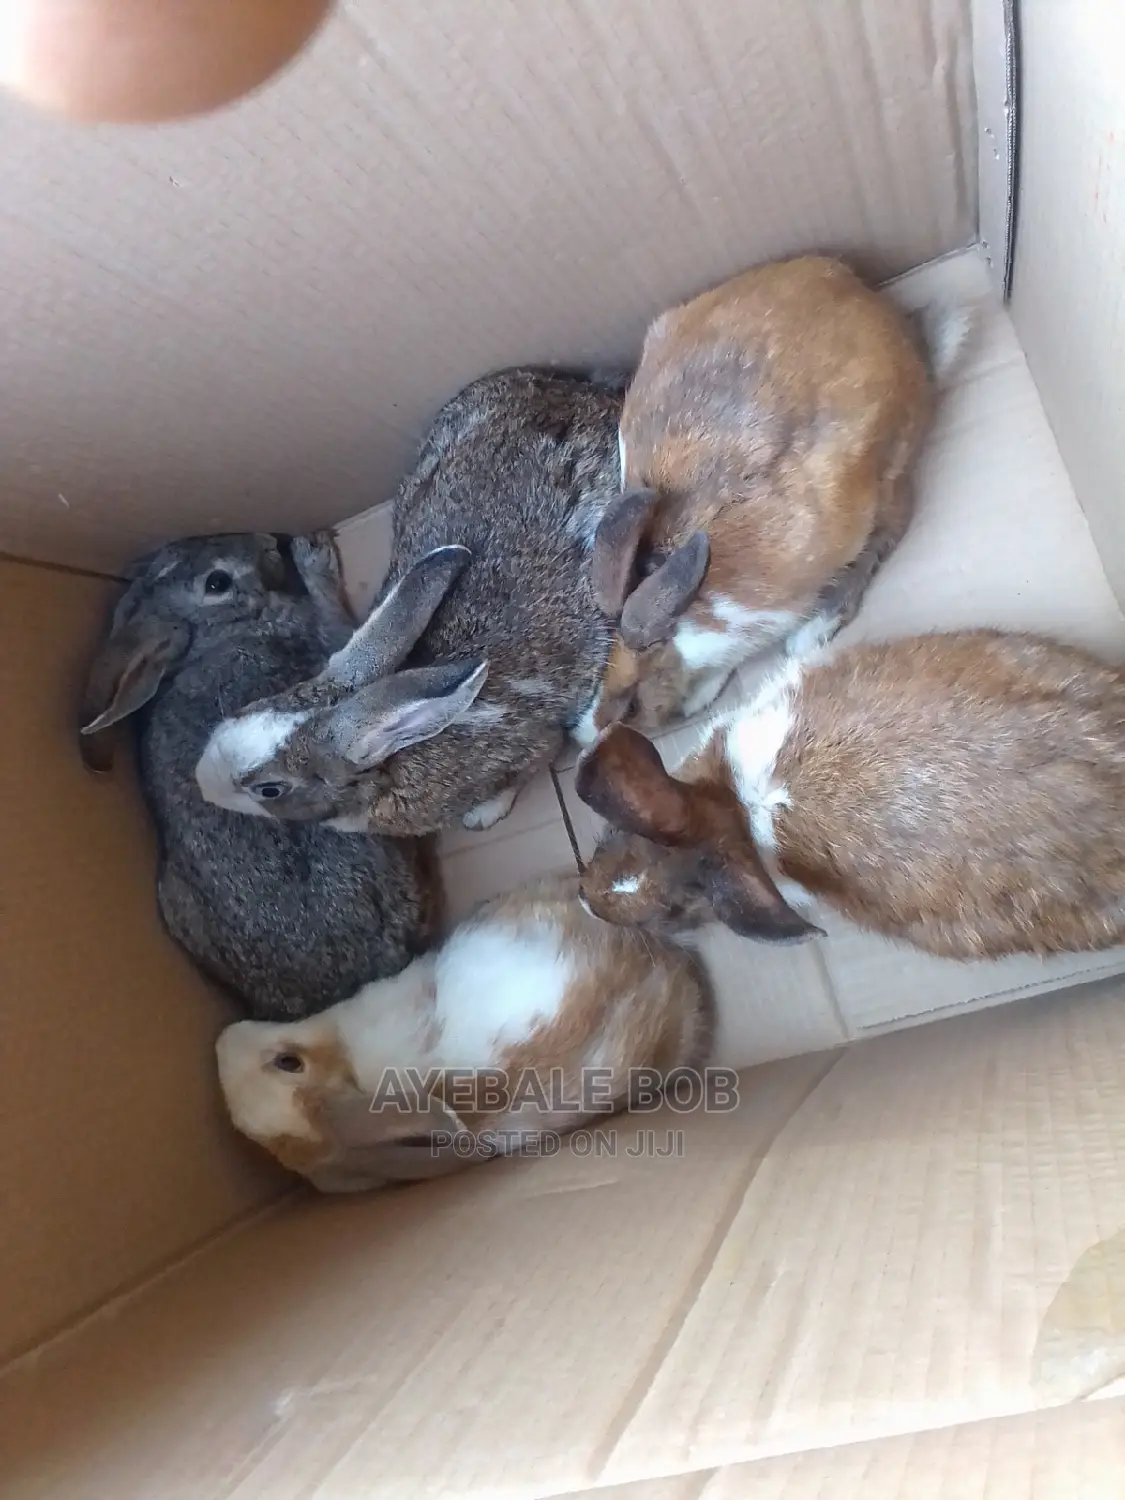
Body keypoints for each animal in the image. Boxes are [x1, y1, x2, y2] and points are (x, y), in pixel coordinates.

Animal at [192, 366, 627, 838]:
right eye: (248, 708)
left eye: (270, 789)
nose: (201, 784)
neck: (387, 763)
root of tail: (577, 391)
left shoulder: (532, 745)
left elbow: (532, 764)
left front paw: (482, 815)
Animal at [581, 254, 976, 741]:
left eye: (632, 703)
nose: (585, 733)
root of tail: (893, 319)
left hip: (887, 476)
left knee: (889, 530)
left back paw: (813, 634)